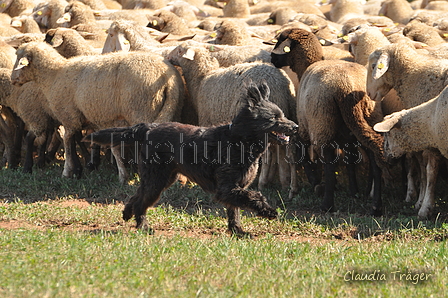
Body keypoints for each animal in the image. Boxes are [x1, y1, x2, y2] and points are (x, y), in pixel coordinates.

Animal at [11, 40, 186, 183]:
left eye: (19, 60)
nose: (12, 79)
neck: (53, 75)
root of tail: (169, 79)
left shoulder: (68, 115)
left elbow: (68, 141)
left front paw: (68, 171)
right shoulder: (80, 117)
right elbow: (76, 139)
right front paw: (79, 169)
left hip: (143, 109)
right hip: (171, 109)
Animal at [86, 81, 300, 235]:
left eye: (282, 115)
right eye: (274, 119)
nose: (296, 127)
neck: (239, 141)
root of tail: (148, 128)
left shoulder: (235, 188)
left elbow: (235, 211)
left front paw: (238, 231)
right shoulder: (226, 188)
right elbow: (254, 197)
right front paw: (269, 212)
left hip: (161, 177)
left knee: (138, 196)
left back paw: (127, 213)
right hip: (157, 178)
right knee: (142, 202)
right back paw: (144, 227)